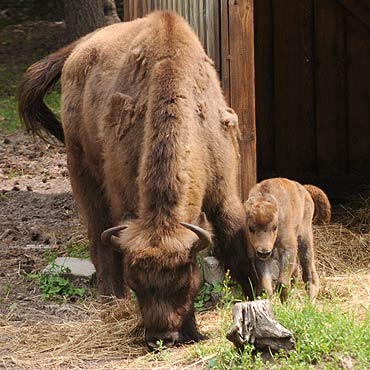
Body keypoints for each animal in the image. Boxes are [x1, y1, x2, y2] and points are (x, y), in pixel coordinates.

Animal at [18, 10, 254, 350]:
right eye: (137, 285)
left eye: (187, 281)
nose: (162, 337)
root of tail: (80, 47)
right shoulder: (123, 197)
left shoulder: (224, 192)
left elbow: (237, 245)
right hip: (82, 171)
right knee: (98, 237)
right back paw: (111, 301)